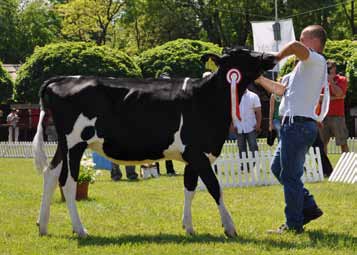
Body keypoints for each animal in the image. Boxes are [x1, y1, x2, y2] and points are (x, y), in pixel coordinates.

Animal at [32, 47, 276, 237]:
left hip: (64, 146)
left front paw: (189, 227)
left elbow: (189, 188)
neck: (208, 99)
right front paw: (230, 227)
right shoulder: (198, 153)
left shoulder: (192, 156)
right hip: (74, 144)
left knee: (50, 174)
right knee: (67, 182)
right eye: (242, 54)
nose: (272, 56)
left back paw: (42, 226)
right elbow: (215, 188)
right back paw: (80, 229)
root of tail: (62, 79)